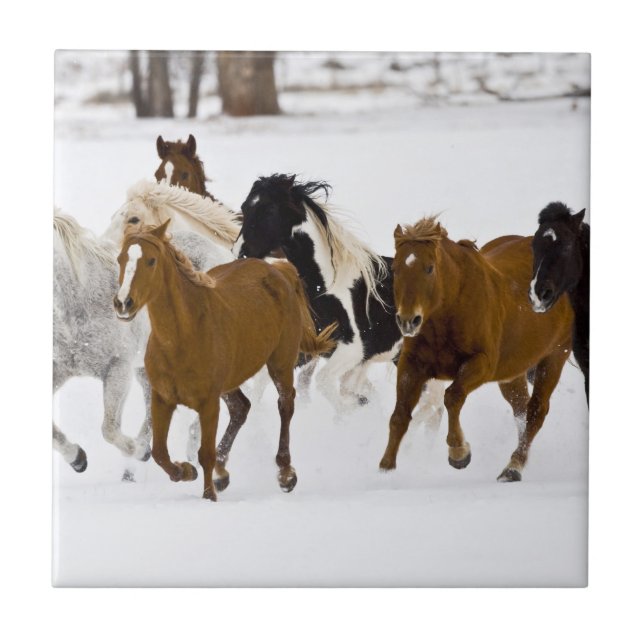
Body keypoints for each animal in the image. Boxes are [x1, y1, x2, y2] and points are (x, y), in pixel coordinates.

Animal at [114, 220, 337, 501]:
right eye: (120, 258)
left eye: (151, 260)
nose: (123, 303)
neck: (183, 337)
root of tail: (279, 270)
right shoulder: (162, 398)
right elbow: (159, 453)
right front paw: (186, 471)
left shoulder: (208, 402)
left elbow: (204, 454)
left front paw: (209, 495)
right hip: (231, 381)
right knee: (241, 408)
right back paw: (223, 473)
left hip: (281, 363)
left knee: (285, 405)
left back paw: (286, 474)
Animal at [233, 174, 445, 420]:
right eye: (245, 207)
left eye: (270, 210)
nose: (239, 252)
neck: (325, 289)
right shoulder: (310, 352)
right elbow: (263, 384)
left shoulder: (352, 351)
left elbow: (326, 384)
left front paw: (351, 411)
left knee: (434, 406)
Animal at [379, 216, 574, 482]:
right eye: (396, 269)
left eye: (429, 268)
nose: (408, 321)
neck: (450, 308)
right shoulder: (412, 364)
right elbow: (399, 415)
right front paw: (385, 469)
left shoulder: (481, 364)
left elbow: (452, 397)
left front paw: (459, 453)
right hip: (512, 372)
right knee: (521, 408)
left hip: (554, 357)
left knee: (536, 411)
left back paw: (513, 467)